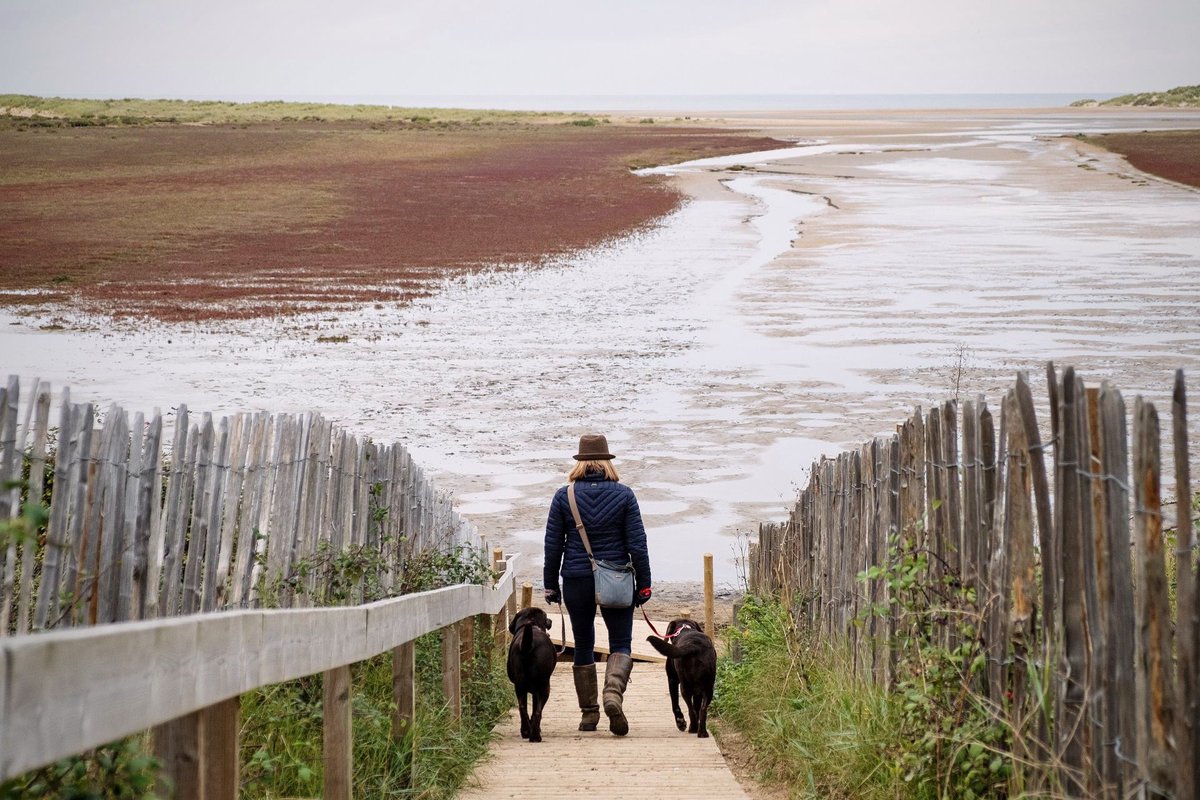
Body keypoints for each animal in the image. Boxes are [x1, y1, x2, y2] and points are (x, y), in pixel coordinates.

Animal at [508, 606, 559, 743]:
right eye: (546, 616)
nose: (550, 620)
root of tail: (529, 644)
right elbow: (536, 709)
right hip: (544, 686)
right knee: (537, 711)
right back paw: (535, 735)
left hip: (519, 685)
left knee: (522, 708)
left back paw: (526, 731)